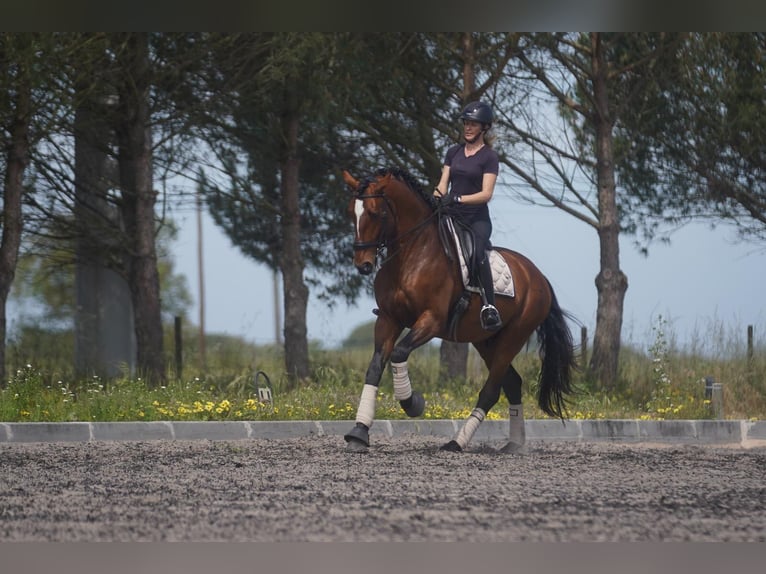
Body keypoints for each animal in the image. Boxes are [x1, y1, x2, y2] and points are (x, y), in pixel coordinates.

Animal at [342, 166, 576, 454]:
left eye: (376, 212)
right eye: (351, 212)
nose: (362, 264)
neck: (411, 255)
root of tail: (538, 277)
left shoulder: (431, 320)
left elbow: (398, 353)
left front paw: (413, 403)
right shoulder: (388, 319)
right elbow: (375, 368)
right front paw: (358, 433)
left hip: (514, 336)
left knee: (491, 391)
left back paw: (457, 442)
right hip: (486, 341)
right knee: (512, 384)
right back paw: (514, 444)